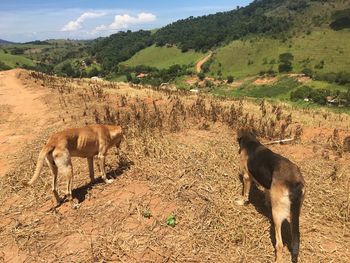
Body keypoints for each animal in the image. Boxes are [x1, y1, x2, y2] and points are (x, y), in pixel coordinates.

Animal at [237, 129, 304, 263]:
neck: (252, 143)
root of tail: (295, 182)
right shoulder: (268, 185)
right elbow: (267, 194)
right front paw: (266, 203)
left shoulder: (246, 177)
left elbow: (245, 194)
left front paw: (242, 202)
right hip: (294, 214)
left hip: (277, 215)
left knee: (279, 245)